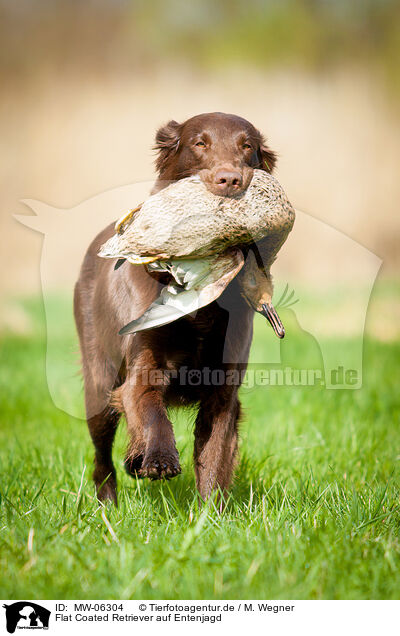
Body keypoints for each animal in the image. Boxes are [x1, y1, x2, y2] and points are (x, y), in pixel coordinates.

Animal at [74, 113, 276, 502]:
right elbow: (152, 410)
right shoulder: (141, 370)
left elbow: (214, 455)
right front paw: (160, 459)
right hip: (99, 382)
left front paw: (211, 513)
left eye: (247, 146)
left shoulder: (223, 389)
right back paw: (108, 502)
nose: (230, 179)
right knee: (101, 457)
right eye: (200, 143)